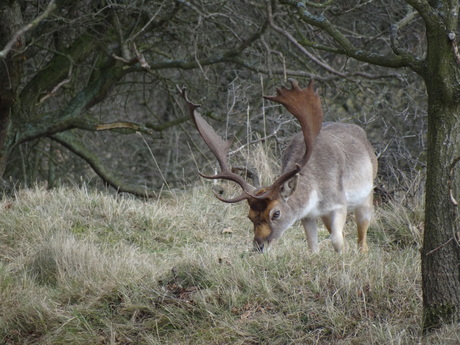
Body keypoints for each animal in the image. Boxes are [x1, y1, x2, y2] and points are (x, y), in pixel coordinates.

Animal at [180, 80, 378, 253]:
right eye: (249, 216)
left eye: (276, 213)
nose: (259, 247)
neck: (316, 194)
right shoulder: (308, 215)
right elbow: (313, 247)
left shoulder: (339, 202)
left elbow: (337, 240)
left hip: (367, 195)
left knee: (362, 237)